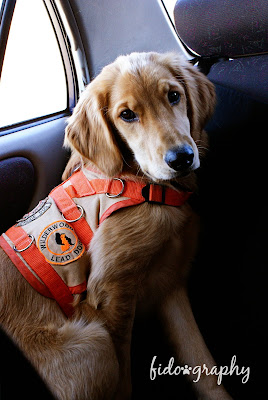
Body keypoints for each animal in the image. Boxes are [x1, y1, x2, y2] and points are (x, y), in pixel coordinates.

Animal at [0, 53, 231, 400]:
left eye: (174, 96)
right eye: (127, 115)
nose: (182, 158)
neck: (145, 184)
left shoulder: (170, 284)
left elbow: (201, 361)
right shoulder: (112, 290)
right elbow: (125, 377)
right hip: (93, 342)